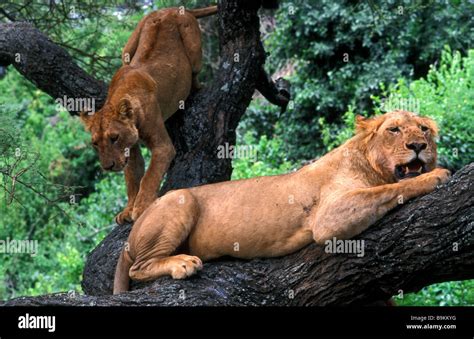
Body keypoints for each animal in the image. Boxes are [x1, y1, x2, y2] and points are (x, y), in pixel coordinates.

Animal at [79, 5, 218, 226]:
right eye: (94, 143)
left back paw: (196, 88)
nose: (108, 167)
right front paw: (128, 209)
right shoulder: (130, 149)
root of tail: (172, 8)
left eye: (114, 138)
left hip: (193, 46)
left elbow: (149, 176)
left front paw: (141, 207)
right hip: (127, 49)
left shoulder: (162, 146)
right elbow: (132, 178)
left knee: (195, 72)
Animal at [113, 110, 450, 294]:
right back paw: (182, 264)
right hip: (180, 199)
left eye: (423, 129)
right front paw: (438, 175)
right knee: (138, 268)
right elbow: (389, 189)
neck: (369, 165)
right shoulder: (329, 219)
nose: (418, 145)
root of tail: (130, 237)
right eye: (394, 129)